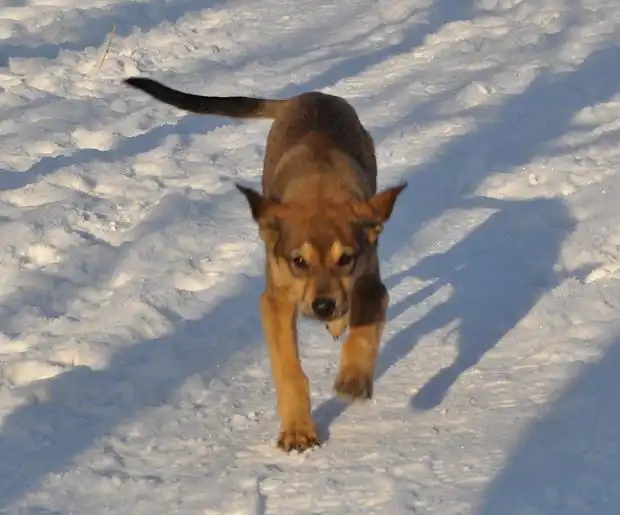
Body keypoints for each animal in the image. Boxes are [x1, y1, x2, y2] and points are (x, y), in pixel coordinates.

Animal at [124, 77, 406, 452]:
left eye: (345, 258)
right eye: (298, 261)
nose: (323, 305)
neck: (321, 187)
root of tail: (308, 95)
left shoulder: (370, 282)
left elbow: (363, 332)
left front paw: (353, 380)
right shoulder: (275, 299)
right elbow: (288, 368)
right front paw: (298, 430)